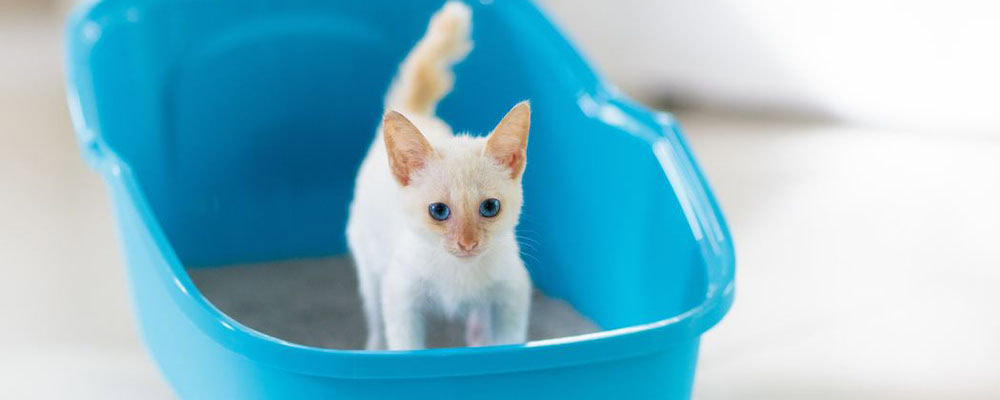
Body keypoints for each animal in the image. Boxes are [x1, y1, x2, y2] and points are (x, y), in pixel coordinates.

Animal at [344, 1, 532, 350]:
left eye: (490, 207)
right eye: (439, 211)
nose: (468, 243)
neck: (459, 273)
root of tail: (415, 111)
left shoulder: (513, 289)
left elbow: (509, 338)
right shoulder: (401, 294)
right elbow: (405, 344)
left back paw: (477, 335)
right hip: (369, 262)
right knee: (374, 312)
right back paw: (374, 347)